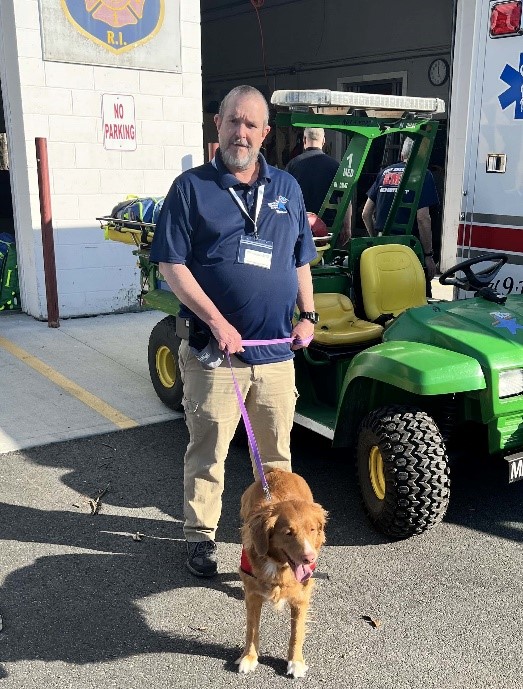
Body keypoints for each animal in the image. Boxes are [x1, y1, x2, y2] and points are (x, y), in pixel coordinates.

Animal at [237, 468, 328, 676]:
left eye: (312, 529)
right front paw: (249, 657)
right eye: (288, 533)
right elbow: (252, 629)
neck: (279, 565)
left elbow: (297, 632)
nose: (310, 558)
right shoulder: (253, 595)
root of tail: (277, 470)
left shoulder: (301, 596)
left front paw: (296, 662)